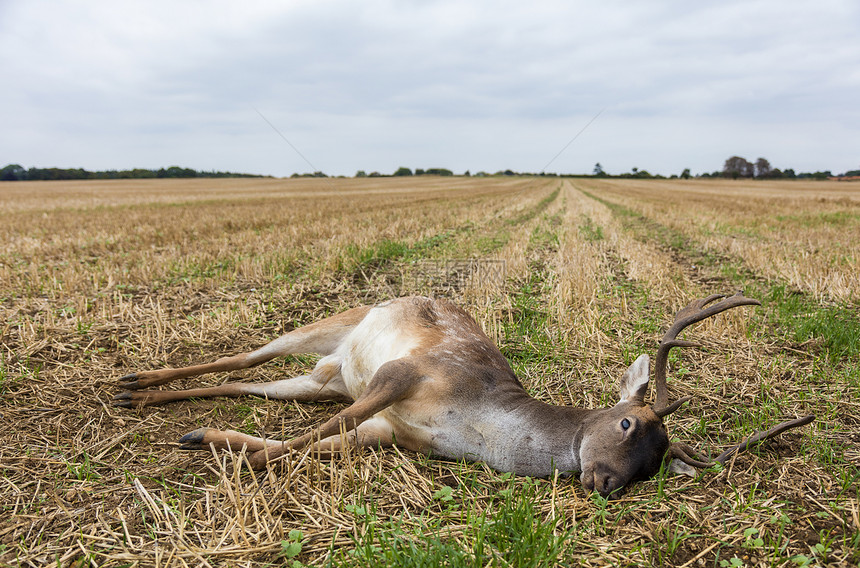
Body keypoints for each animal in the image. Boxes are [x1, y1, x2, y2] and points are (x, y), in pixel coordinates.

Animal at [112, 292, 812, 496]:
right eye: (629, 425)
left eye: (659, 463)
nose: (607, 483)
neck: (473, 424)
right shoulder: (403, 375)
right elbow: (314, 439)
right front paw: (244, 465)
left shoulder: (392, 433)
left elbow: (321, 443)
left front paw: (220, 445)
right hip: (331, 330)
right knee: (243, 354)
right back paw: (133, 382)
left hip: (320, 380)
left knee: (255, 383)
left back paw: (159, 409)